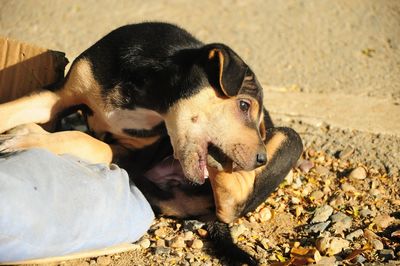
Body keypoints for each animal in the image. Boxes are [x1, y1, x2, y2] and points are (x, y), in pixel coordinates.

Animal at [0, 22, 302, 264]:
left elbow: (86, 140)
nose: (261, 159)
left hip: (291, 140)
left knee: (233, 205)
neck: (149, 93)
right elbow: (11, 109)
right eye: (243, 105)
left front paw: (26, 137)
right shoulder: (57, 95)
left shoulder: (136, 153)